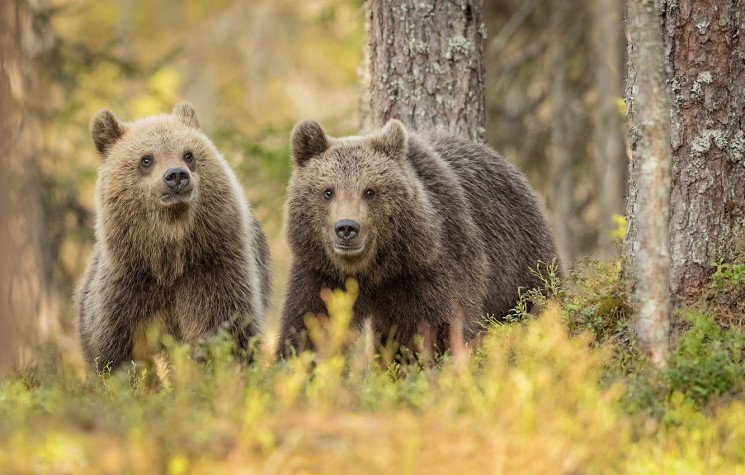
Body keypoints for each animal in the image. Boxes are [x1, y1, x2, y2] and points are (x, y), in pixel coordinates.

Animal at [75, 103, 272, 372]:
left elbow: (223, 327)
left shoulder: (213, 268)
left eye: (188, 154)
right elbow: (116, 351)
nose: (176, 175)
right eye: (146, 159)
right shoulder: (128, 284)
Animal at [280, 119, 560, 356]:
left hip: (519, 263)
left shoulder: (428, 270)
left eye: (370, 191)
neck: (373, 270)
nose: (347, 228)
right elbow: (308, 330)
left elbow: (443, 328)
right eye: (328, 191)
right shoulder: (320, 273)